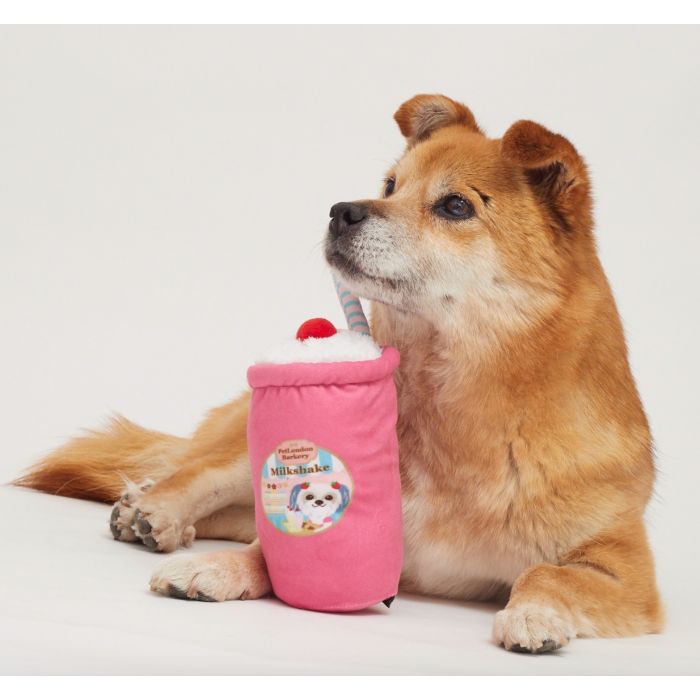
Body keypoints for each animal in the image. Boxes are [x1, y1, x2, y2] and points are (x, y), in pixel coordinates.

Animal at [15, 95, 660, 652]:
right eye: (390, 185)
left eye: (456, 206)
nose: (341, 210)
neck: (451, 413)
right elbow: (264, 549)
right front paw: (218, 569)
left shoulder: (629, 574)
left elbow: (547, 575)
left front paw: (533, 613)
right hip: (243, 447)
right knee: (197, 474)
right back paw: (153, 512)